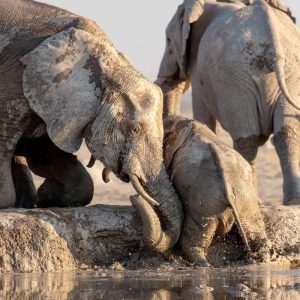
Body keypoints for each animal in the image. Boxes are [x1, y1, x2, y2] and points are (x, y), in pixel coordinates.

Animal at [131, 116, 272, 266]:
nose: (134, 196)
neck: (185, 123)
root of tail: (227, 191)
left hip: (203, 207)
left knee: (191, 243)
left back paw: (202, 264)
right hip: (243, 202)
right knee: (255, 231)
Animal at [156, 0, 300, 205]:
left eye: (168, 40)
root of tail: (273, 43)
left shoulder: (201, 73)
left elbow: (204, 115)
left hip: (236, 78)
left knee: (248, 137)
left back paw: (254, 199)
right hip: (288, 73)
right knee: (284, 133)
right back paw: (292, 202)